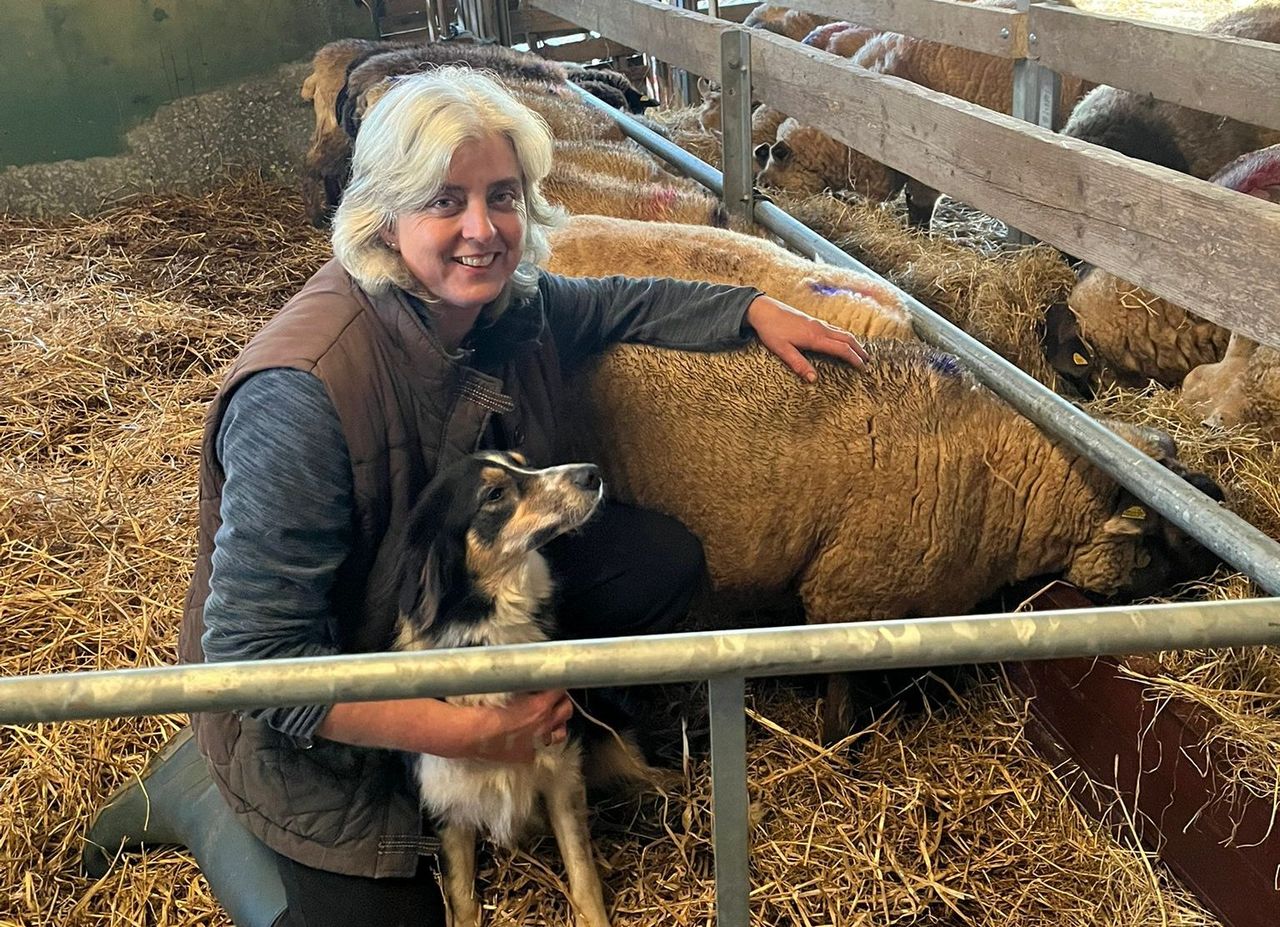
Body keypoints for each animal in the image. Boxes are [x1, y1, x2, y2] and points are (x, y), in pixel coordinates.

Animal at [565, 337, 1224, 743]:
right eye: (1164, 536)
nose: (1218, 499)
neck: (1004, 481)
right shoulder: (848, 598)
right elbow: (841, 693)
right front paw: (839, 746)